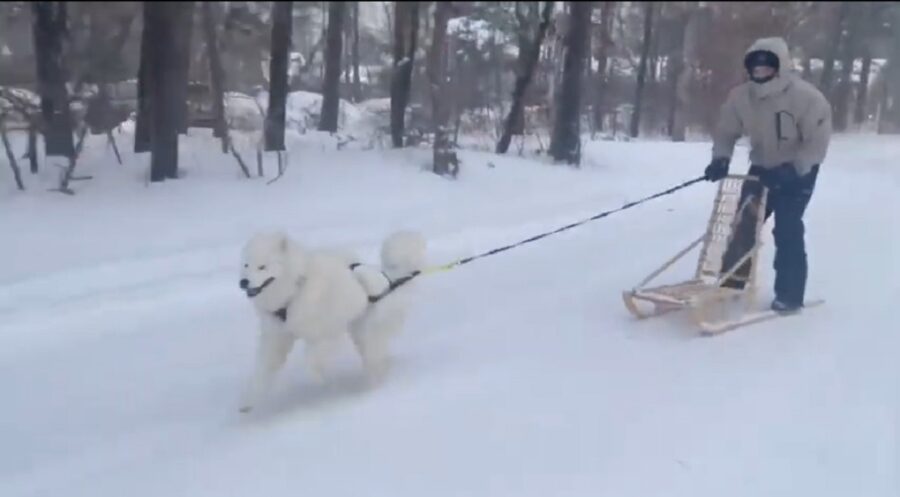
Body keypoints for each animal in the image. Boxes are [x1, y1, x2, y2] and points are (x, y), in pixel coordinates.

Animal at [236, 229, 426, 410]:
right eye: (246, 264)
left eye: (262, 267)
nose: (243, 282)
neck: (295, 290)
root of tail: (389, 280)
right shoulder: (277, 338)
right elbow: (262, 371)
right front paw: (248, 401)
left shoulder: (326, 333)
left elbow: (312, 361)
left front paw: (321, 380)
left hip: (367, 333)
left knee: (375, 358)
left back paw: (373, 386)